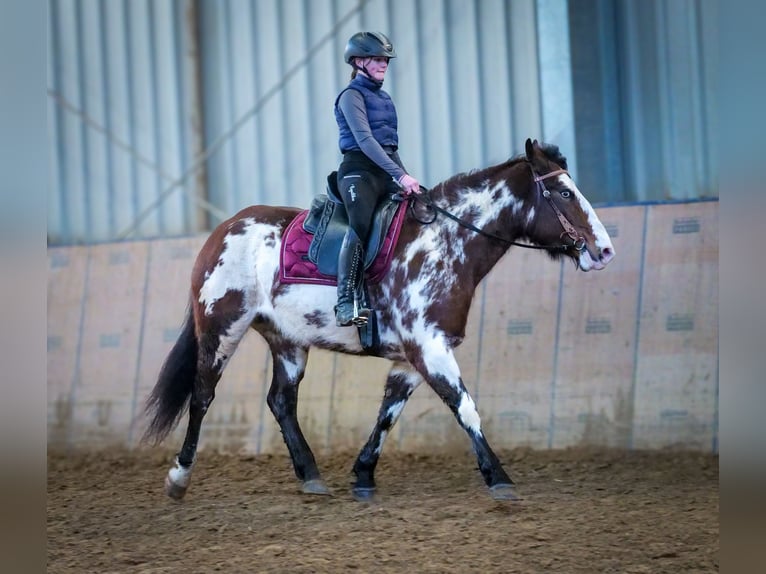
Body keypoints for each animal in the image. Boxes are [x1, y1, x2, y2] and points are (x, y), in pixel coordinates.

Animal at [141, 140, 616, 504]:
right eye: (564, 193)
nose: (604, 250)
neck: (445, 243)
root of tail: (223, 230)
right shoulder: (430, 348)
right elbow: (466, 408)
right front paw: (499, 478)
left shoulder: (412, 357)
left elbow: (389, 413)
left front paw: (363, 474)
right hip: (222, 329)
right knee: (202, 395)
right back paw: (179, 478)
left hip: (288, 341)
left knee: (281, 402)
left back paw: (311, 476)